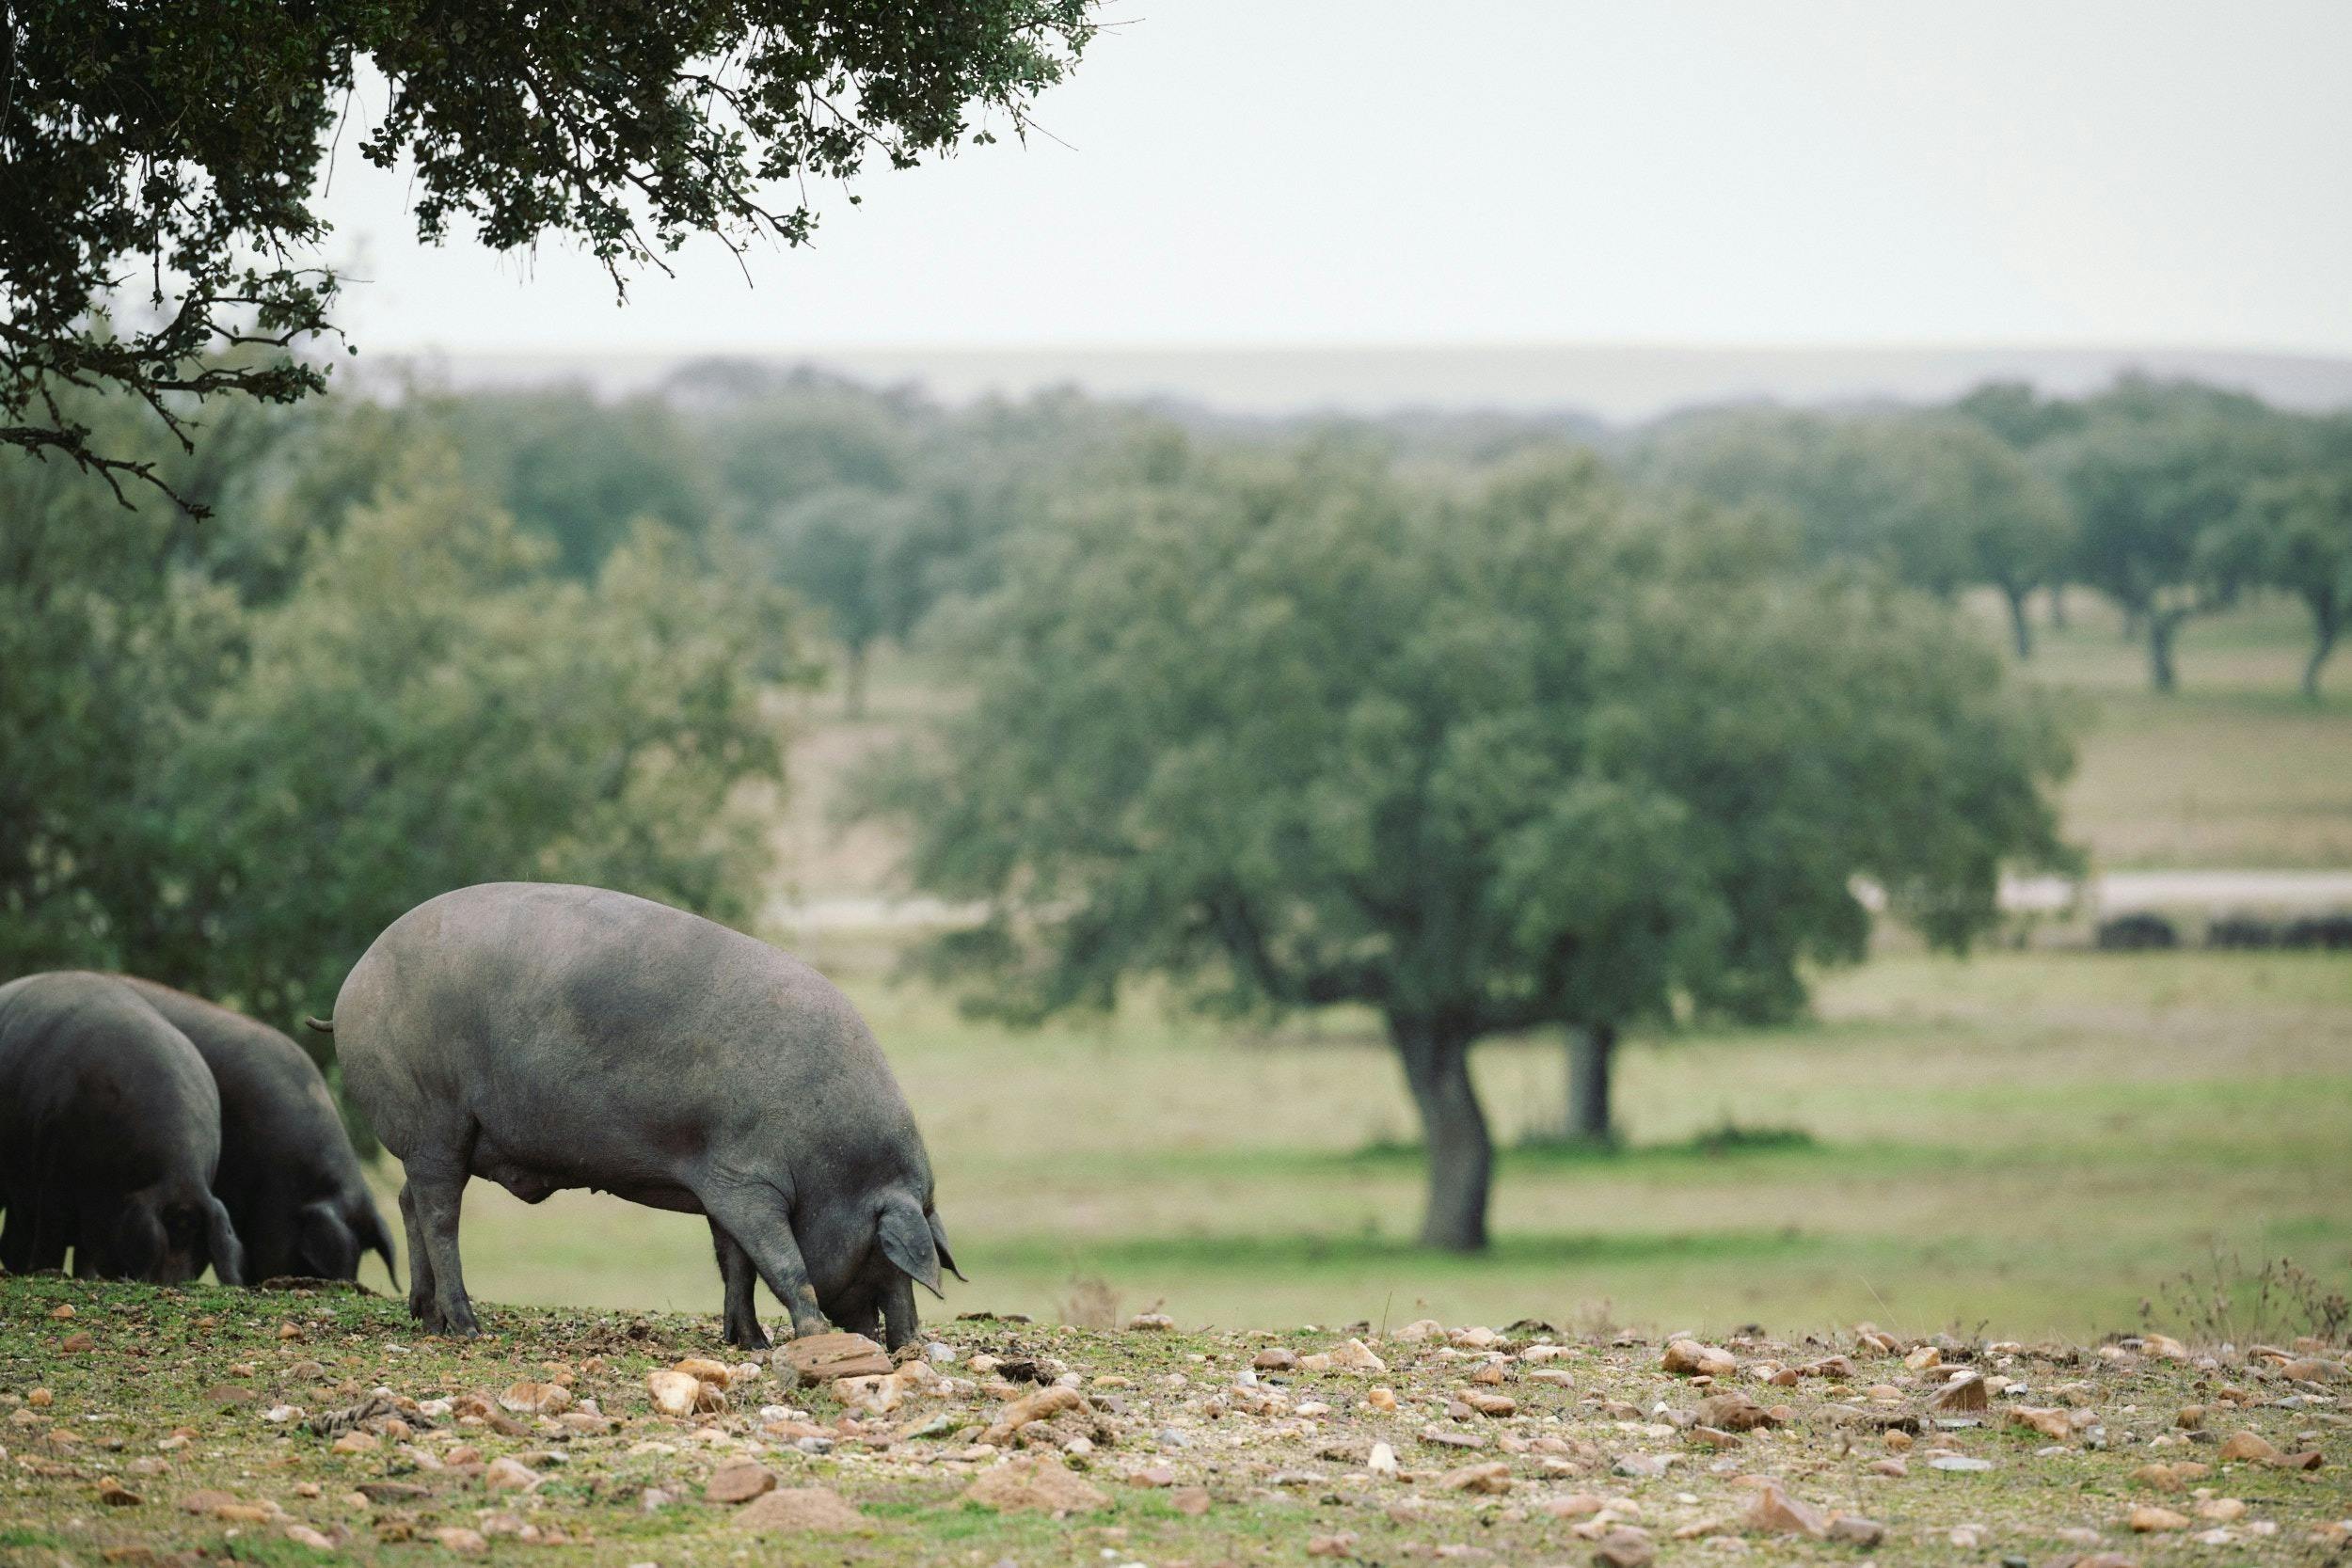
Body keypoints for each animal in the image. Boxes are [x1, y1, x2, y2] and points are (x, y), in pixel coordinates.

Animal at [0, 968, 246, 1288]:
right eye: (168, 1229)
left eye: (193, 1237)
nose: (171, 1283)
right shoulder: (51, 1174)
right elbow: (50, 1237)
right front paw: (45, 1272)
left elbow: (84, 1253)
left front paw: (85, 1277)